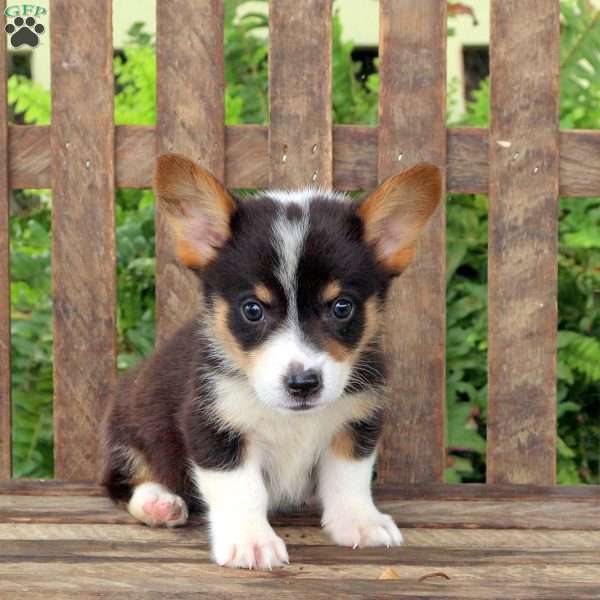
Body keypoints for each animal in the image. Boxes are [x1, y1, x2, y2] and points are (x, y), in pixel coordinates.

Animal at [102, 152, 440, 568]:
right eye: (252, 309)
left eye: (342, 307)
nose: (303, 384)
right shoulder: (213, 426)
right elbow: (241, 489)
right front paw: (251, 542)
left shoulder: (357, 420)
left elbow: (350, 477)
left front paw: (360, 522)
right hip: (130, 427)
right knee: (123, 480)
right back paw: (159, 503)